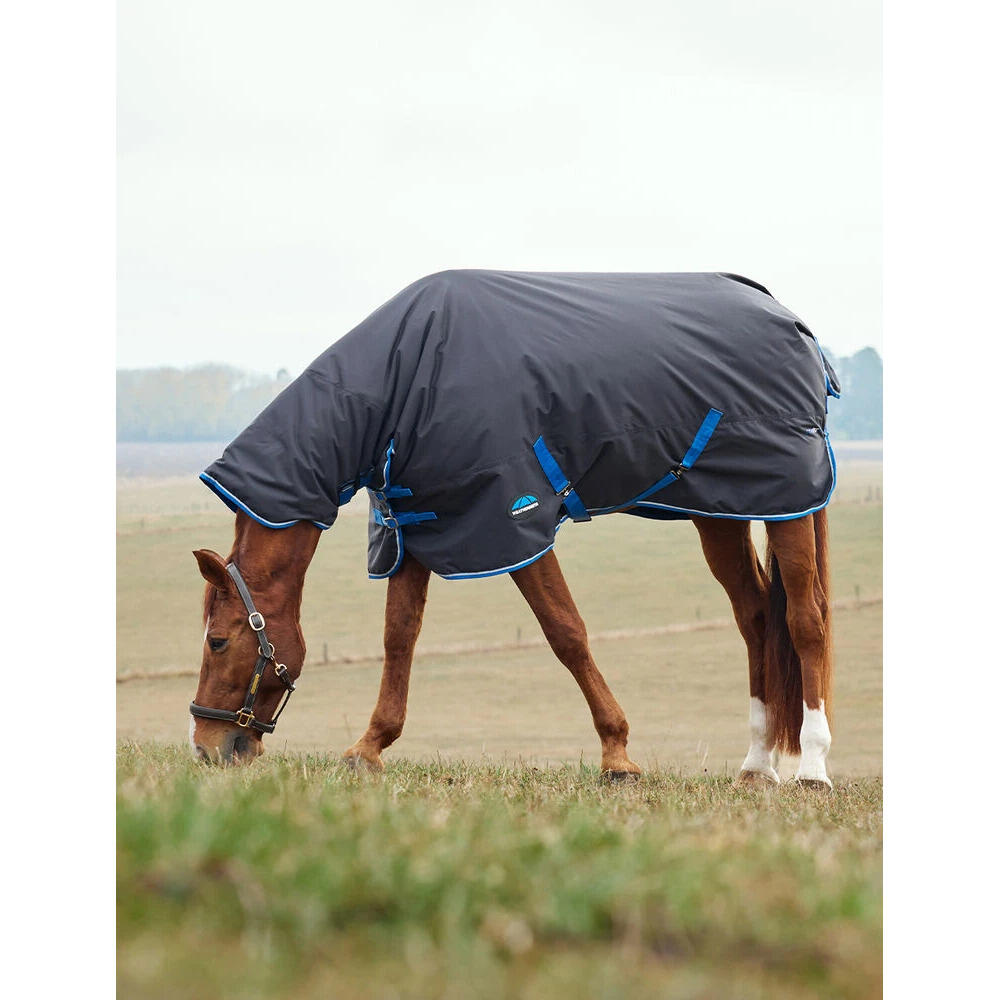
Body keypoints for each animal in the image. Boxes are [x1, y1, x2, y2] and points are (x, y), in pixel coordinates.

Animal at [188, 270, 837, 787]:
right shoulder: (416, 524)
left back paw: (812, 769)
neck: (408, 374)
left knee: (805, 621)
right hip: (723, 511)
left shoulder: (512, 524)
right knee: (756, 619)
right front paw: (370, 747)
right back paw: (756, 766)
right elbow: (400, 637)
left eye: (217, 641)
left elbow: (565, 632)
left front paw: (617, 754)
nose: (207, 748)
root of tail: (793, 323)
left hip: (790, 502)